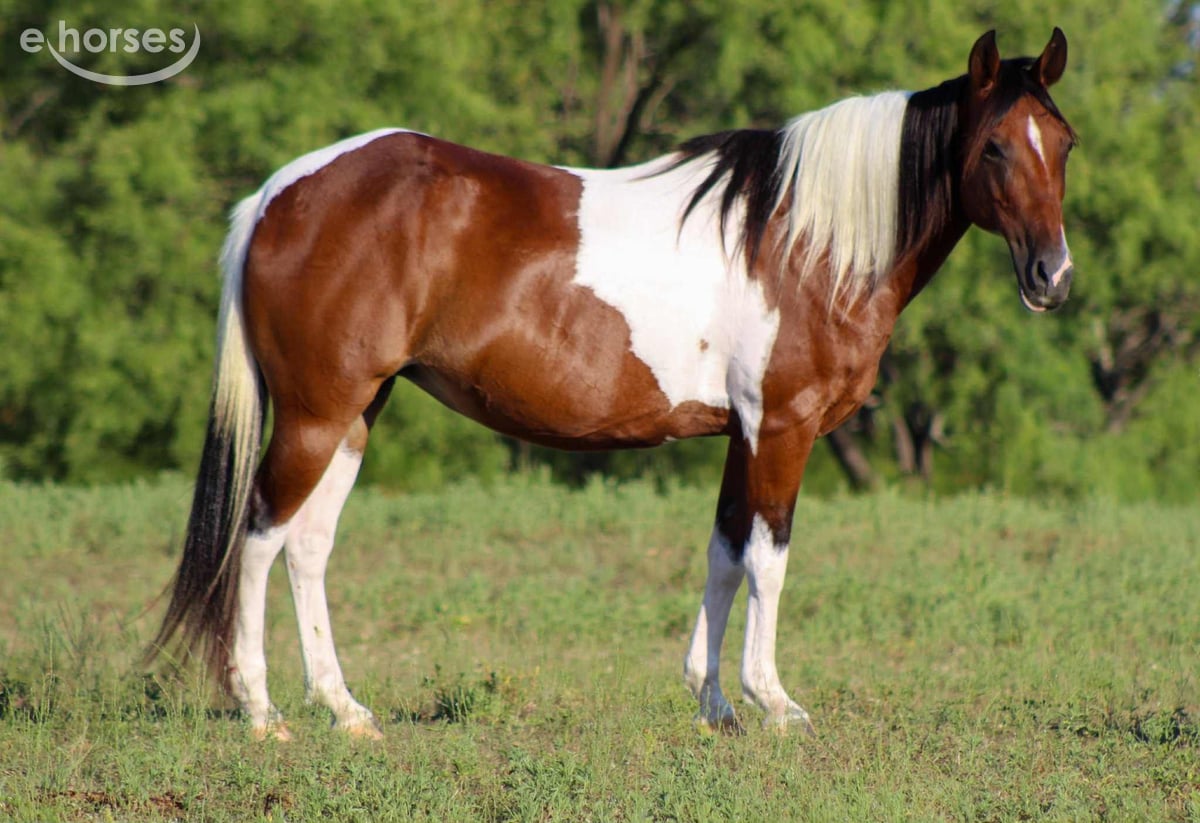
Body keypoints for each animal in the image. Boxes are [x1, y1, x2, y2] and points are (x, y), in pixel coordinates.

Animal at [151, 28, 1076, 740]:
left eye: (1062, 144)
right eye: (995, 145)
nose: (1053, 276)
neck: (805, 241)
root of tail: (280, 194)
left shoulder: (740, 434)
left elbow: (723, 554)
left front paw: (714, 703)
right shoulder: (782, 427)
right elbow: (769, 559)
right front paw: (773, 702)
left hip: (355, 412)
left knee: (309, 545)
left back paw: (345, 710)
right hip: (317, 413)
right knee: (261, 536)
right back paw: (261, 711)